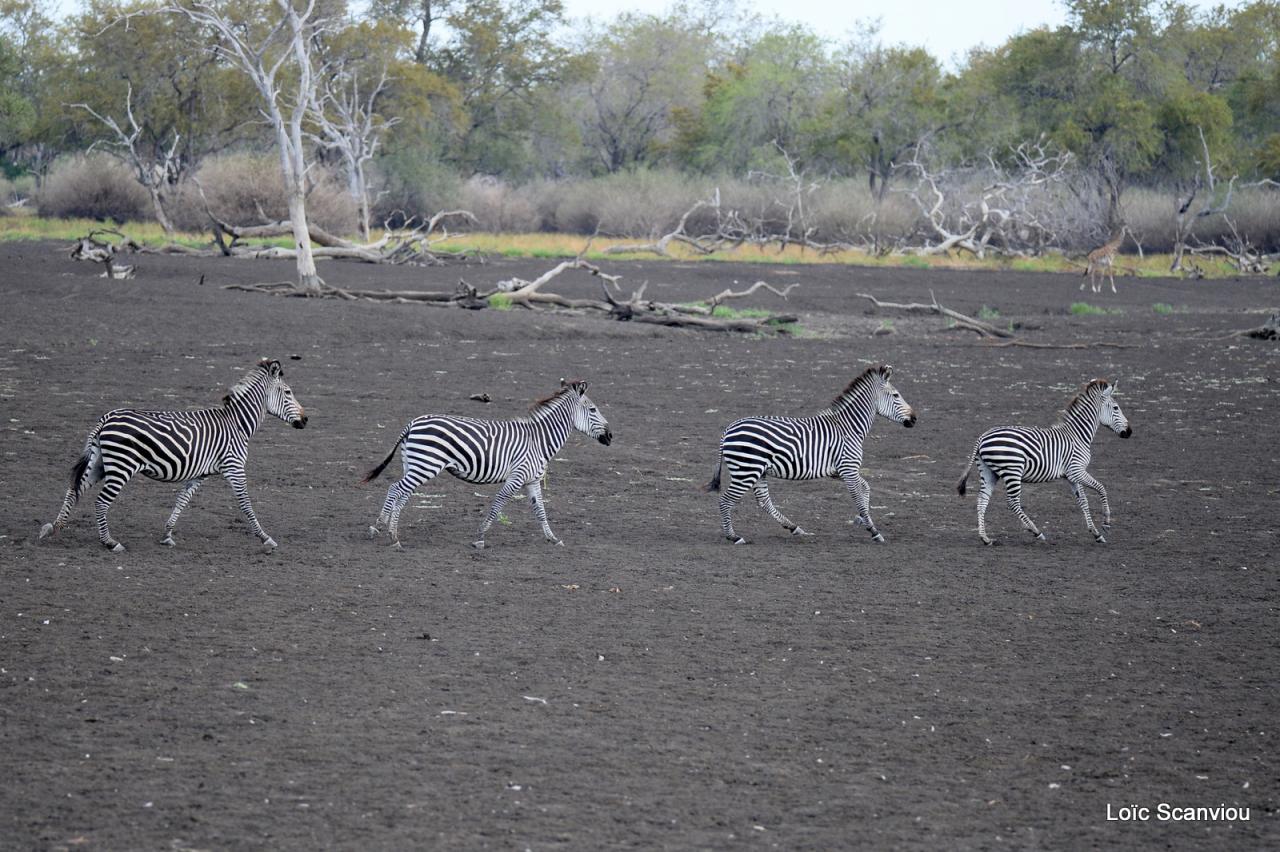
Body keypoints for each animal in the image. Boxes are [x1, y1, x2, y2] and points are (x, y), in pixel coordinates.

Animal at [38, 355, 308, 550]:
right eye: (288, 392)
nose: (306, 420)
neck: (237, 423)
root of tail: (106, 418)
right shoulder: (234, 467)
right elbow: (245, 503)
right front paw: (265, 537)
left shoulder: (200, 473)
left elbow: (182, 501)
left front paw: (167, 534)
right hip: (121, 466)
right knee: (101, 501)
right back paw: (110, 542)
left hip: (99, 462)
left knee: (73, 491)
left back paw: (53, 528)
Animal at [363, 376, 611, 547]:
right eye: (593, 409)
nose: (611, 436)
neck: (539, 439)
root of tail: (412, 423)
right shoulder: (517, 476)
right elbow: (498, 503)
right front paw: (480, 537)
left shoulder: (532, 479)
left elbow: (540, 510)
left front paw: (553, 538)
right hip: (426, 465)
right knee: (396, 489)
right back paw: (388, 533)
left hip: (414, 464)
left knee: (401, 492)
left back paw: (387, 529)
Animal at [706, 360, 916, 539]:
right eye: (896, 395)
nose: (914, 419)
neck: (848, 427)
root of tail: (729, 428)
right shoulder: (848, 468)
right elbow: (858, 495)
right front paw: (873, 530)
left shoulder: (842, 471)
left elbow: (865, 488)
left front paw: (863, 520)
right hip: (746, 471)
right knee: (725, 501)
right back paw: (733, 536)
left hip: (757, 471)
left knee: (764, 502)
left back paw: (794, 528)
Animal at [962, 376, 1131, 544]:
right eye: (1116, 408)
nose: (1129, 432)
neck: (1078, 435)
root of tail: (983, 436)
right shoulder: (1076, 470)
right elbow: (1101, 488)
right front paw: (1106, 523)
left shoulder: (1071, 476)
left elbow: (1083, 501)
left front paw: (1095, 533)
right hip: (1012, 470)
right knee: (1012, 502)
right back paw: (1036, 531)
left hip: (989, 472)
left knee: (982, 500)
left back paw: (985, 538)